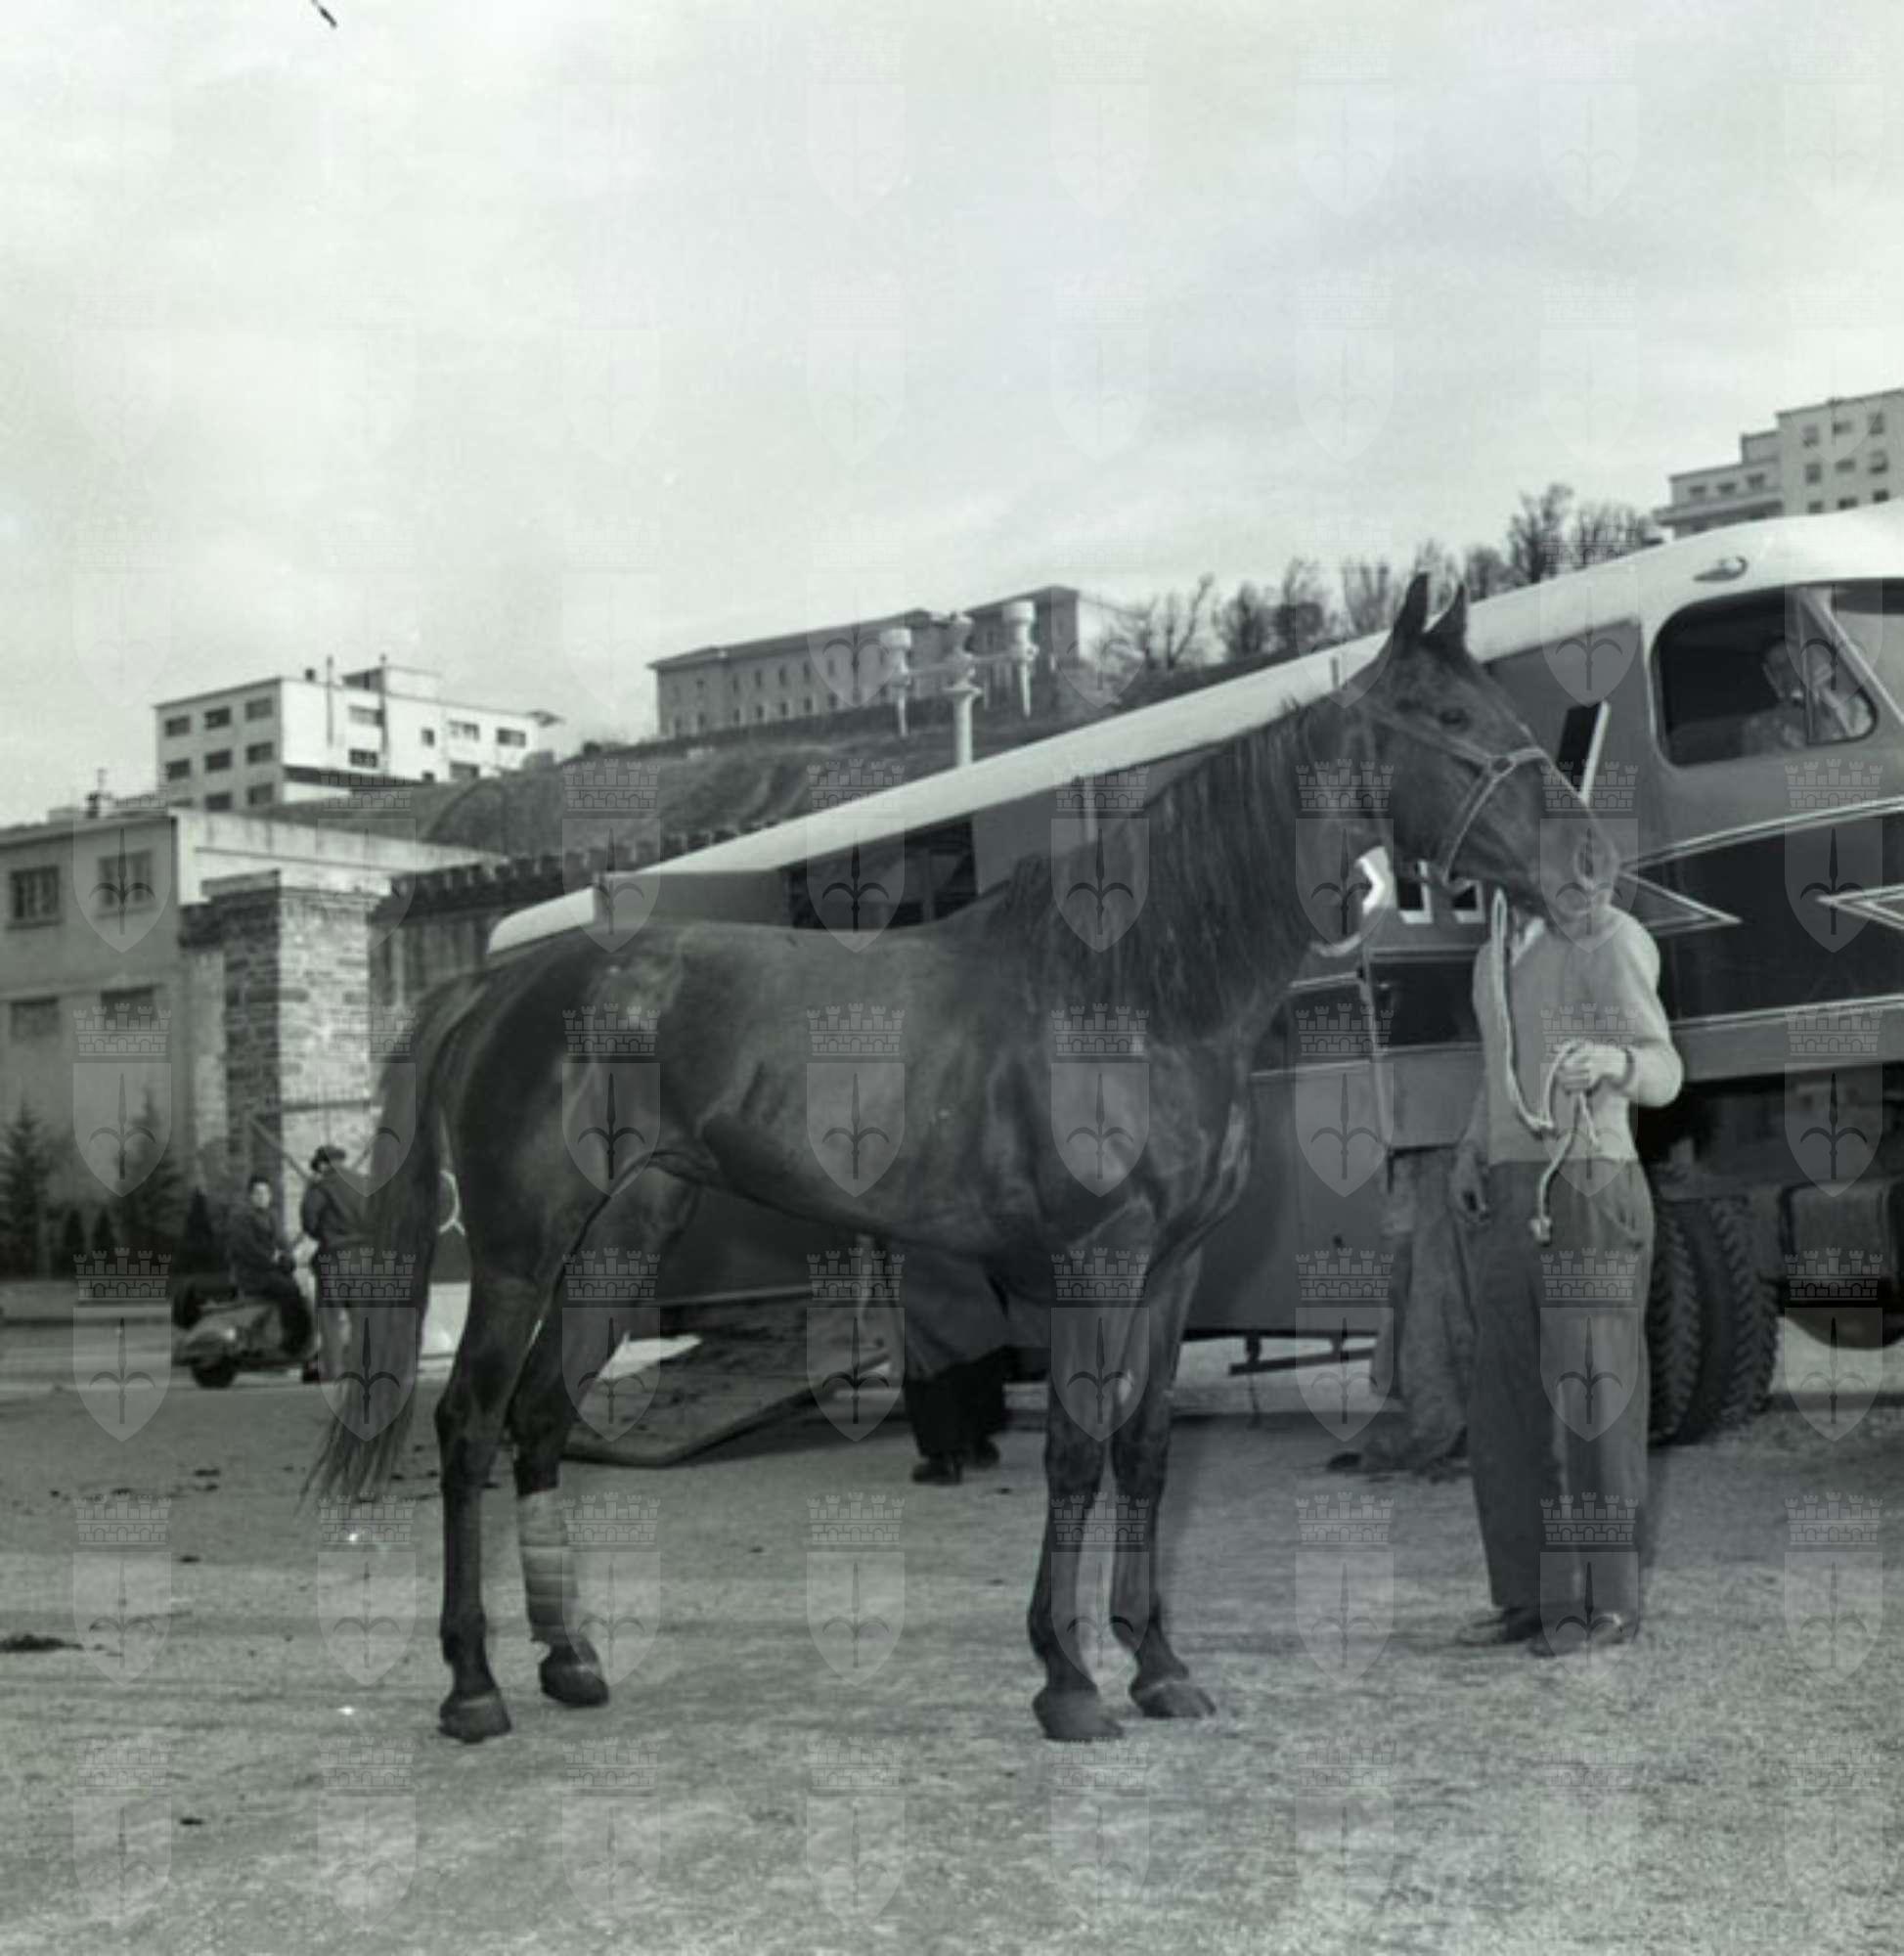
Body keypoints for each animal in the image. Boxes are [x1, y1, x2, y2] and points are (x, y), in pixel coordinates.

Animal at [310, 573, 1610, 1745]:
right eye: (1446, 717)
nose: (1588, 865)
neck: (1130, 992)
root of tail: (495, 984)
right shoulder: (1097, 1259)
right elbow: (1079, 1450)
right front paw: (1069, 1679)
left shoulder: (1176, 1266)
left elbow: (1144, 1450)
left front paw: (1159, 1665)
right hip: (521, 1253)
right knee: (469, 1423)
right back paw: (473, 1687)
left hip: (615, 1251)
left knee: (536, 1420)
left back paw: (572, 1660)